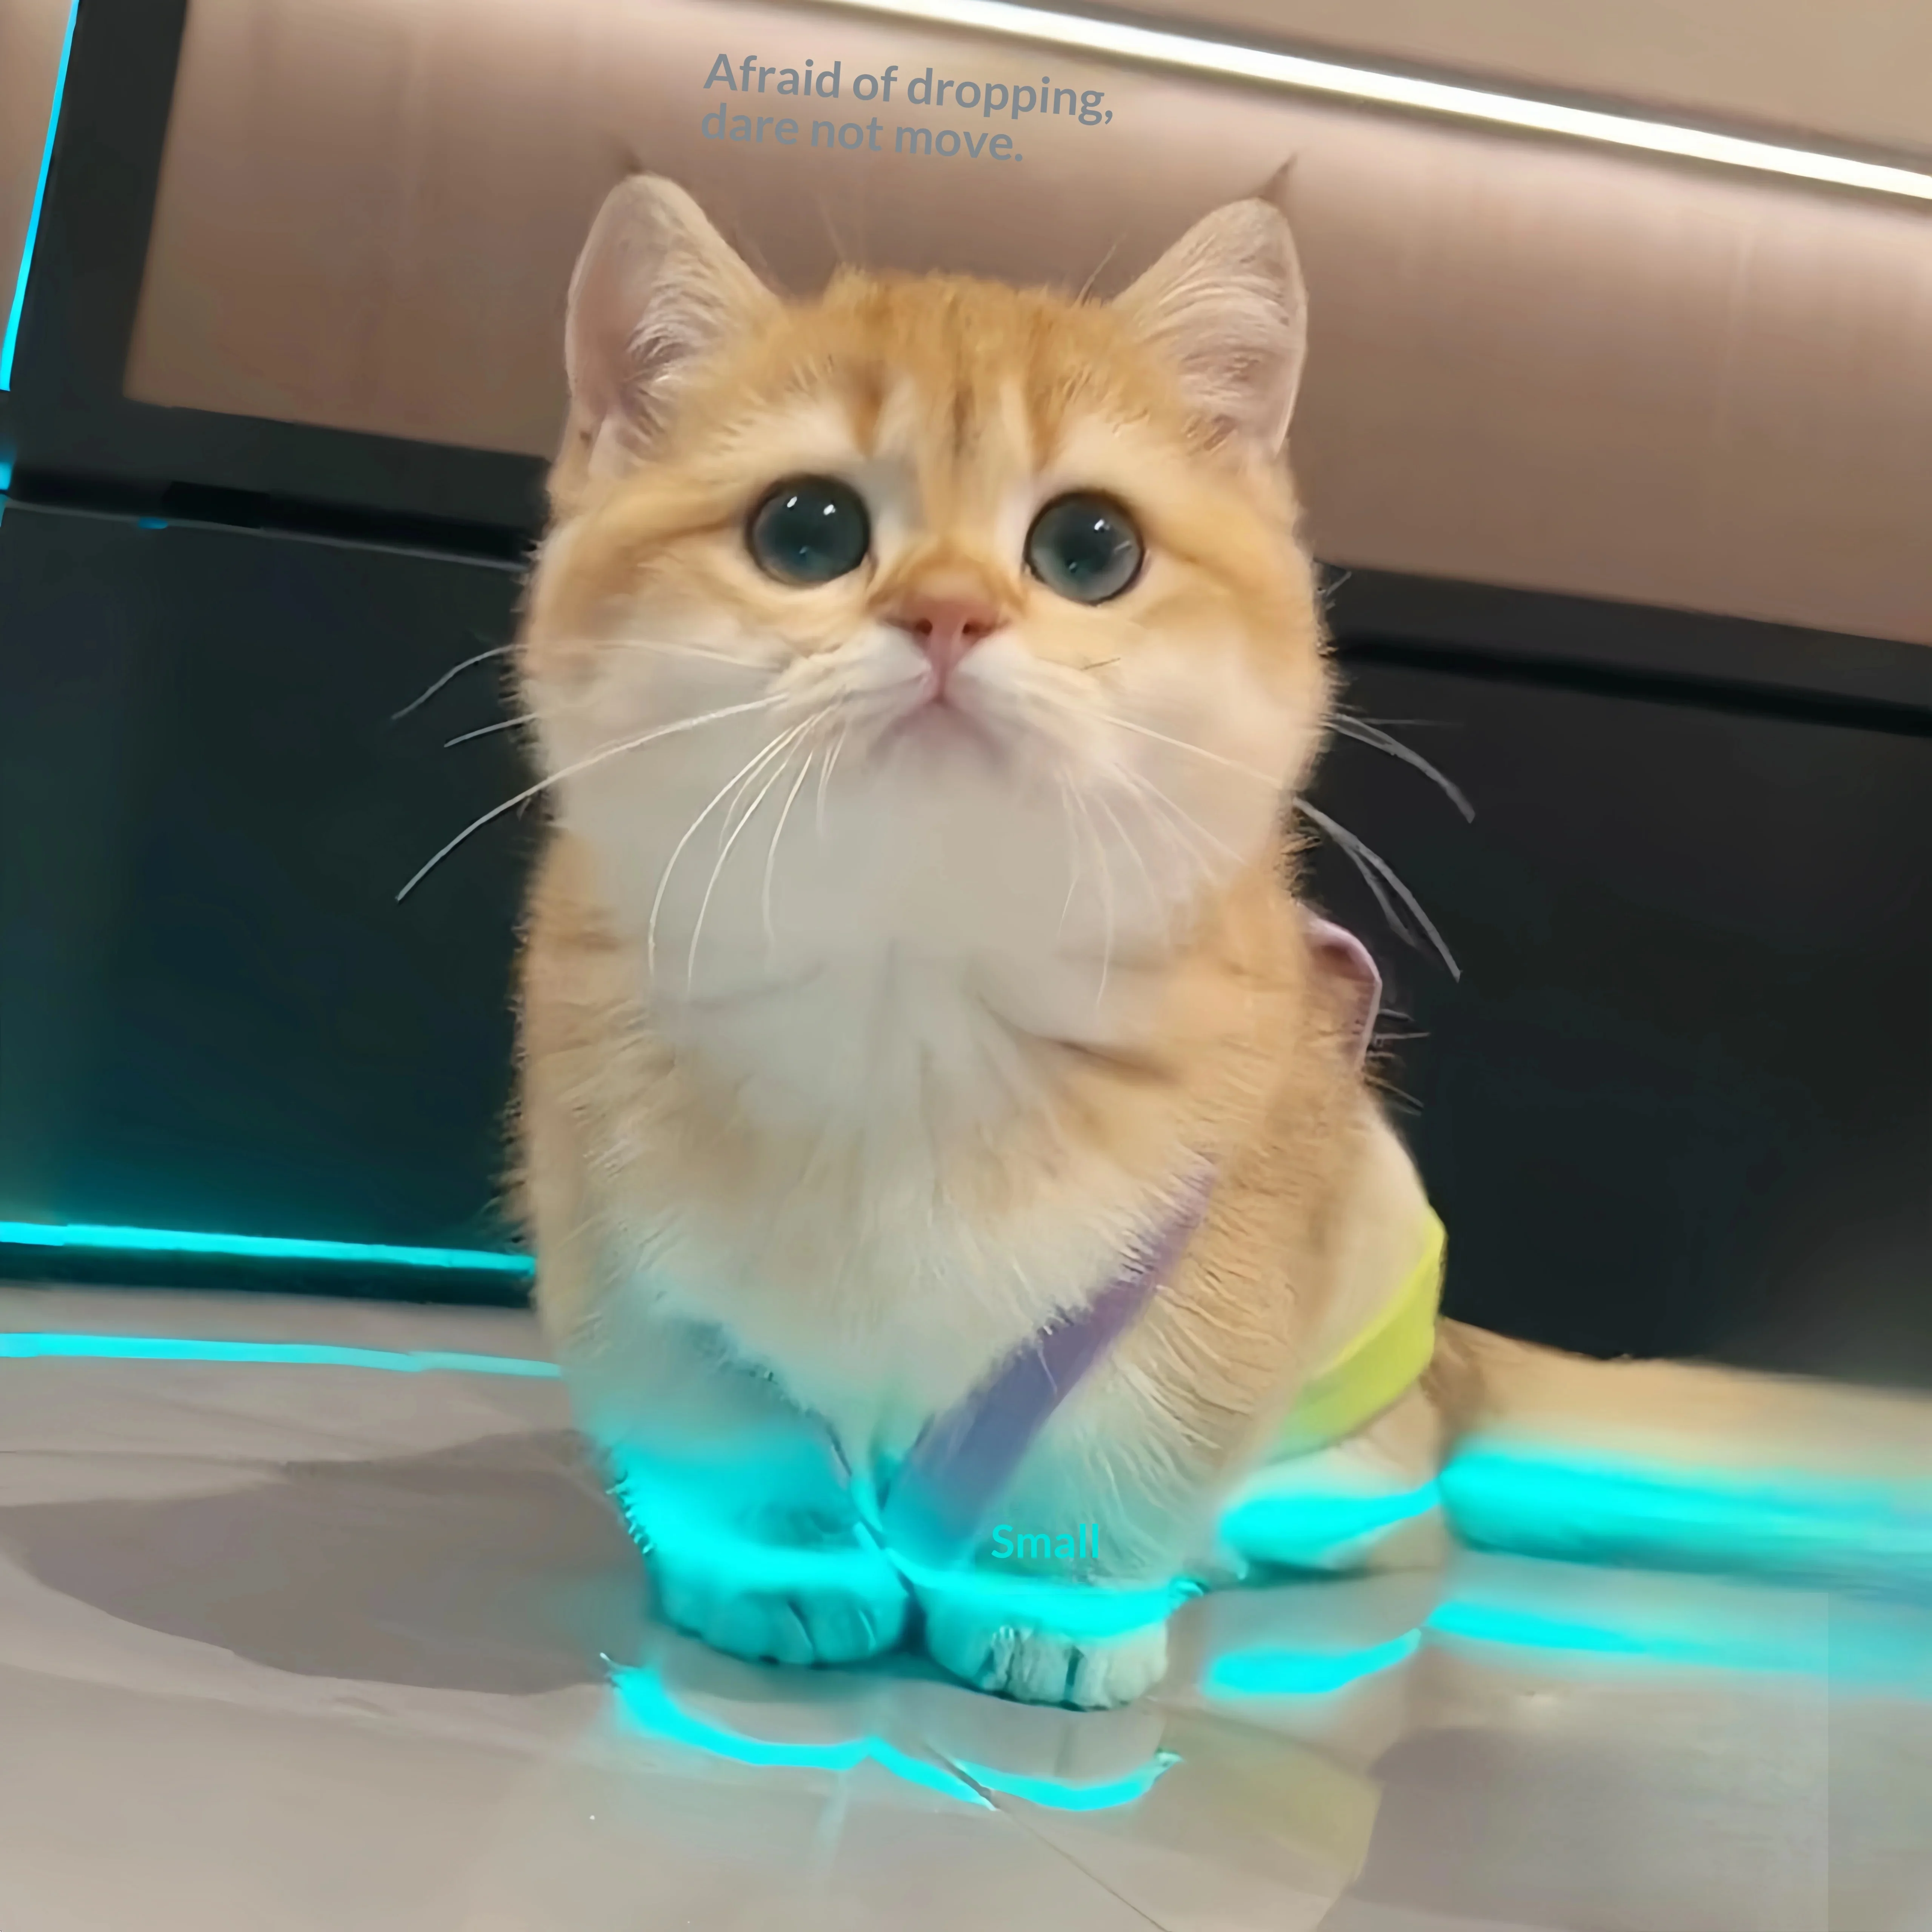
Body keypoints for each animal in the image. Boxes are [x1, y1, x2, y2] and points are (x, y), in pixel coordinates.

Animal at [514, 174, 1930, 1709]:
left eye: (1087, 547)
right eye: (805, 532)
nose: (948, 610)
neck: (915, 983)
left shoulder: (1216, 1244)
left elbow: (1124, 1441)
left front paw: (1055, 1605)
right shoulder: (624, 1250)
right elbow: (723, 1424)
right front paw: (772, 1567)